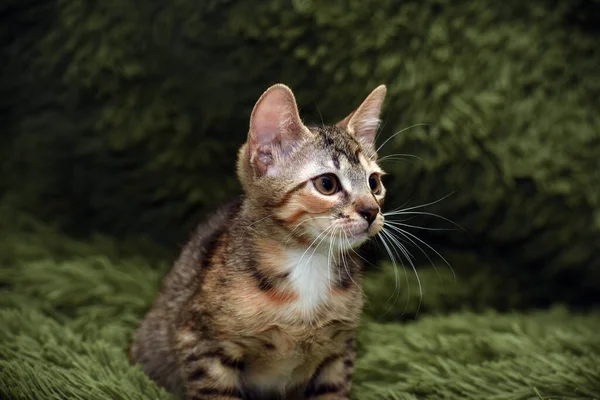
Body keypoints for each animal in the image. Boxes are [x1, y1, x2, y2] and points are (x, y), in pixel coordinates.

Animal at [129, 83, 386, 398]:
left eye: (374, 183)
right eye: (327, 184)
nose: (371, 211)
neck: (307, 261)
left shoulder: (338, 352)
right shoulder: (202, 343)